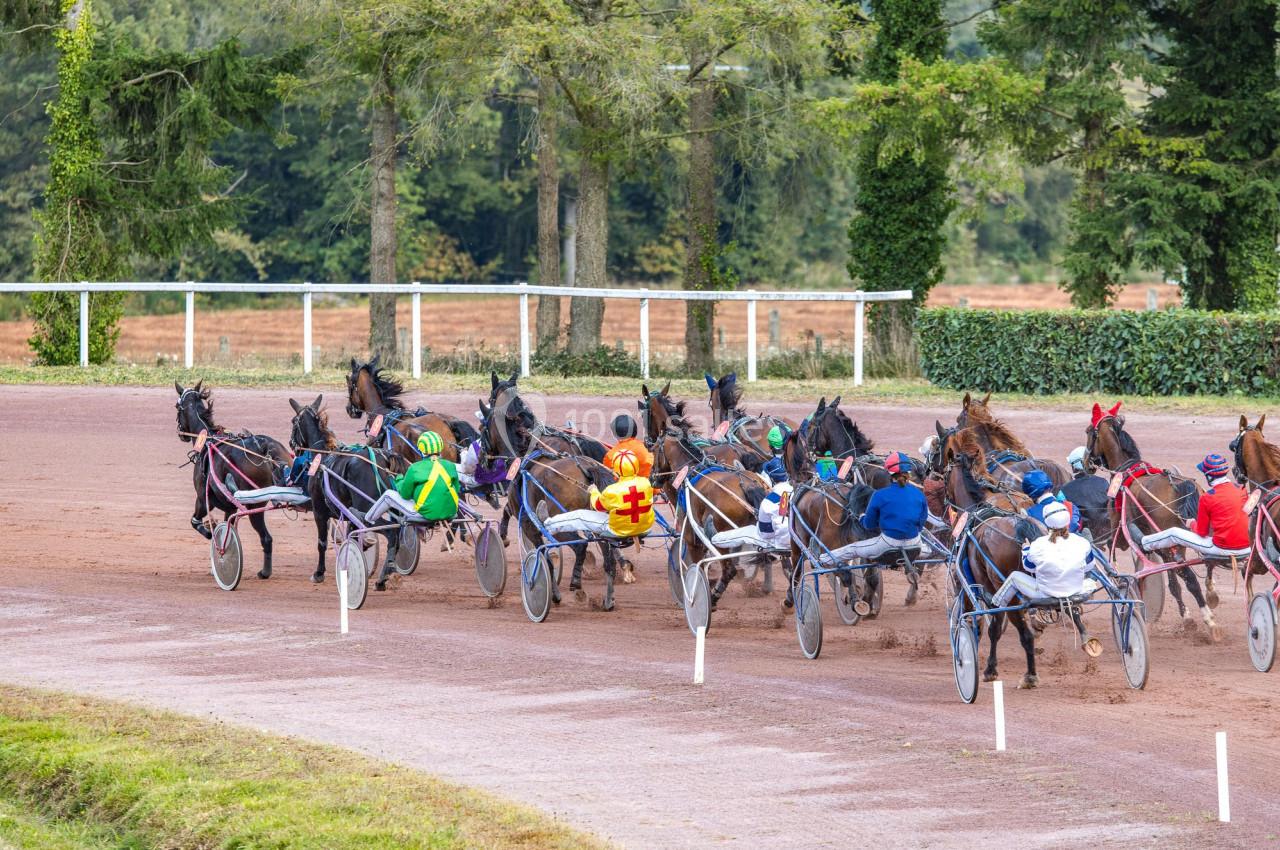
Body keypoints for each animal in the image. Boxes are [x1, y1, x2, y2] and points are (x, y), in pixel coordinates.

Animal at [175, 381, 292, 579]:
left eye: (177, 407)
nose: (180, 433)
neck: (207, 439)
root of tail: (265, 447)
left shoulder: (202, 499)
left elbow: (196, 522)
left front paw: (211, 532)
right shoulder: (230, 508)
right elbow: (229, 533)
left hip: (254, 505)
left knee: (266, 538)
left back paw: (264, 572)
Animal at [940, 429, 1044, 688]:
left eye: (945, 475)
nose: (945, 501)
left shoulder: (969, 585)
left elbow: (978, 623)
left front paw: (981, 665)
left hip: (1008, 592)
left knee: (1022, 632)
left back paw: (1026, 674)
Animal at [1086, 404, 1218, 630]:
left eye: (1088, 432)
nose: (1086, 464)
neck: (1126, 472)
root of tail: (1184, 487)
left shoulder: (1123, 534)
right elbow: (1173, 583)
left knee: (1190, 577)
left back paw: (1208, 617)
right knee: (1208, 562)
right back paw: (1211, 592)